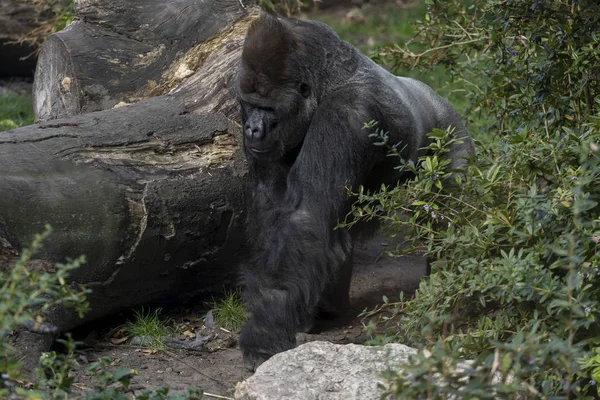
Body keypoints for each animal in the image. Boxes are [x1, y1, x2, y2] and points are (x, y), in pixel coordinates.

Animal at [234, 14, 474, 370]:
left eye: (269, 109)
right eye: (248, 105)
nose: (252, 129)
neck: (325, 82)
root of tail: (438, 97)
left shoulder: (346, 114)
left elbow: (307, 216)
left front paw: (264, 333)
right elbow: (273, 205)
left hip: (453, 136)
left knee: (447, 218)